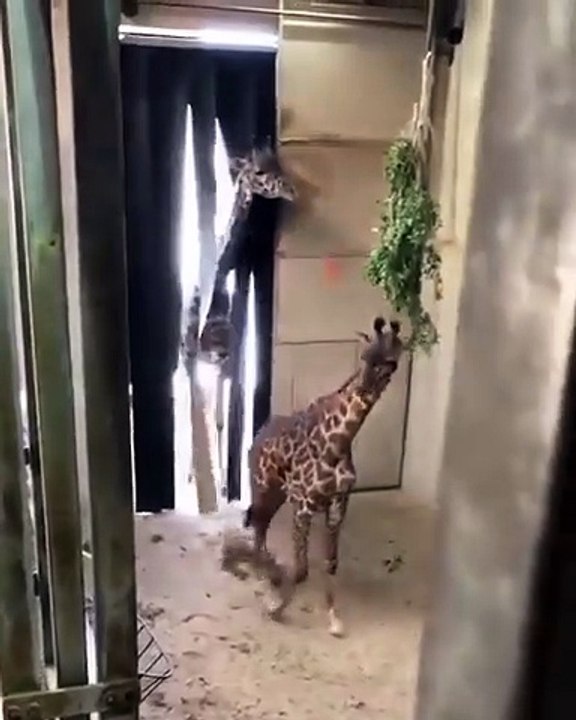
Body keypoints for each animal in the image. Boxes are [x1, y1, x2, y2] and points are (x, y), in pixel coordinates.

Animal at [234, 316, 404, 637]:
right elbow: (301, 570)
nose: (365, 389)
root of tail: (259, 432)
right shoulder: (303, 505)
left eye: (390, 361)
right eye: (365, 356)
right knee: (258, 524)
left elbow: (330, 563)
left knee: (262, 523)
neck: (337, 443)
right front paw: (276, 609)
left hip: (278, 493)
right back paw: (264, 574)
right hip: (261, 485)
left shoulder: (338, 503)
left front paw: (334, 619)